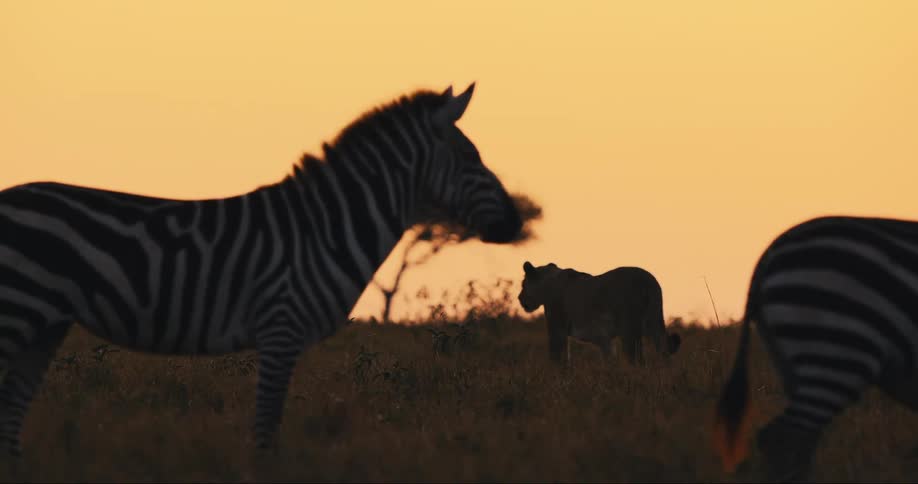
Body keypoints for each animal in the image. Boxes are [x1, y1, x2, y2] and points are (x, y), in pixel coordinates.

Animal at [0, 83, 523, 455]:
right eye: (471, 158)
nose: (518, 221)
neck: (323, 227)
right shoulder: (280, 329)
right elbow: (266, 435)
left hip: (46, 323)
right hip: (19, 309)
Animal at [518, 261, 681, 365]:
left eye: (523, 284)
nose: (520, 298)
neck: (548, 283)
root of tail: (648, 281)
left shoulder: (557, 328)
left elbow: (558, 358)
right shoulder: (604, 339)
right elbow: (609, 359)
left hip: (629, 329)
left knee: (637, 360)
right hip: (654, 321)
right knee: (664, 352)